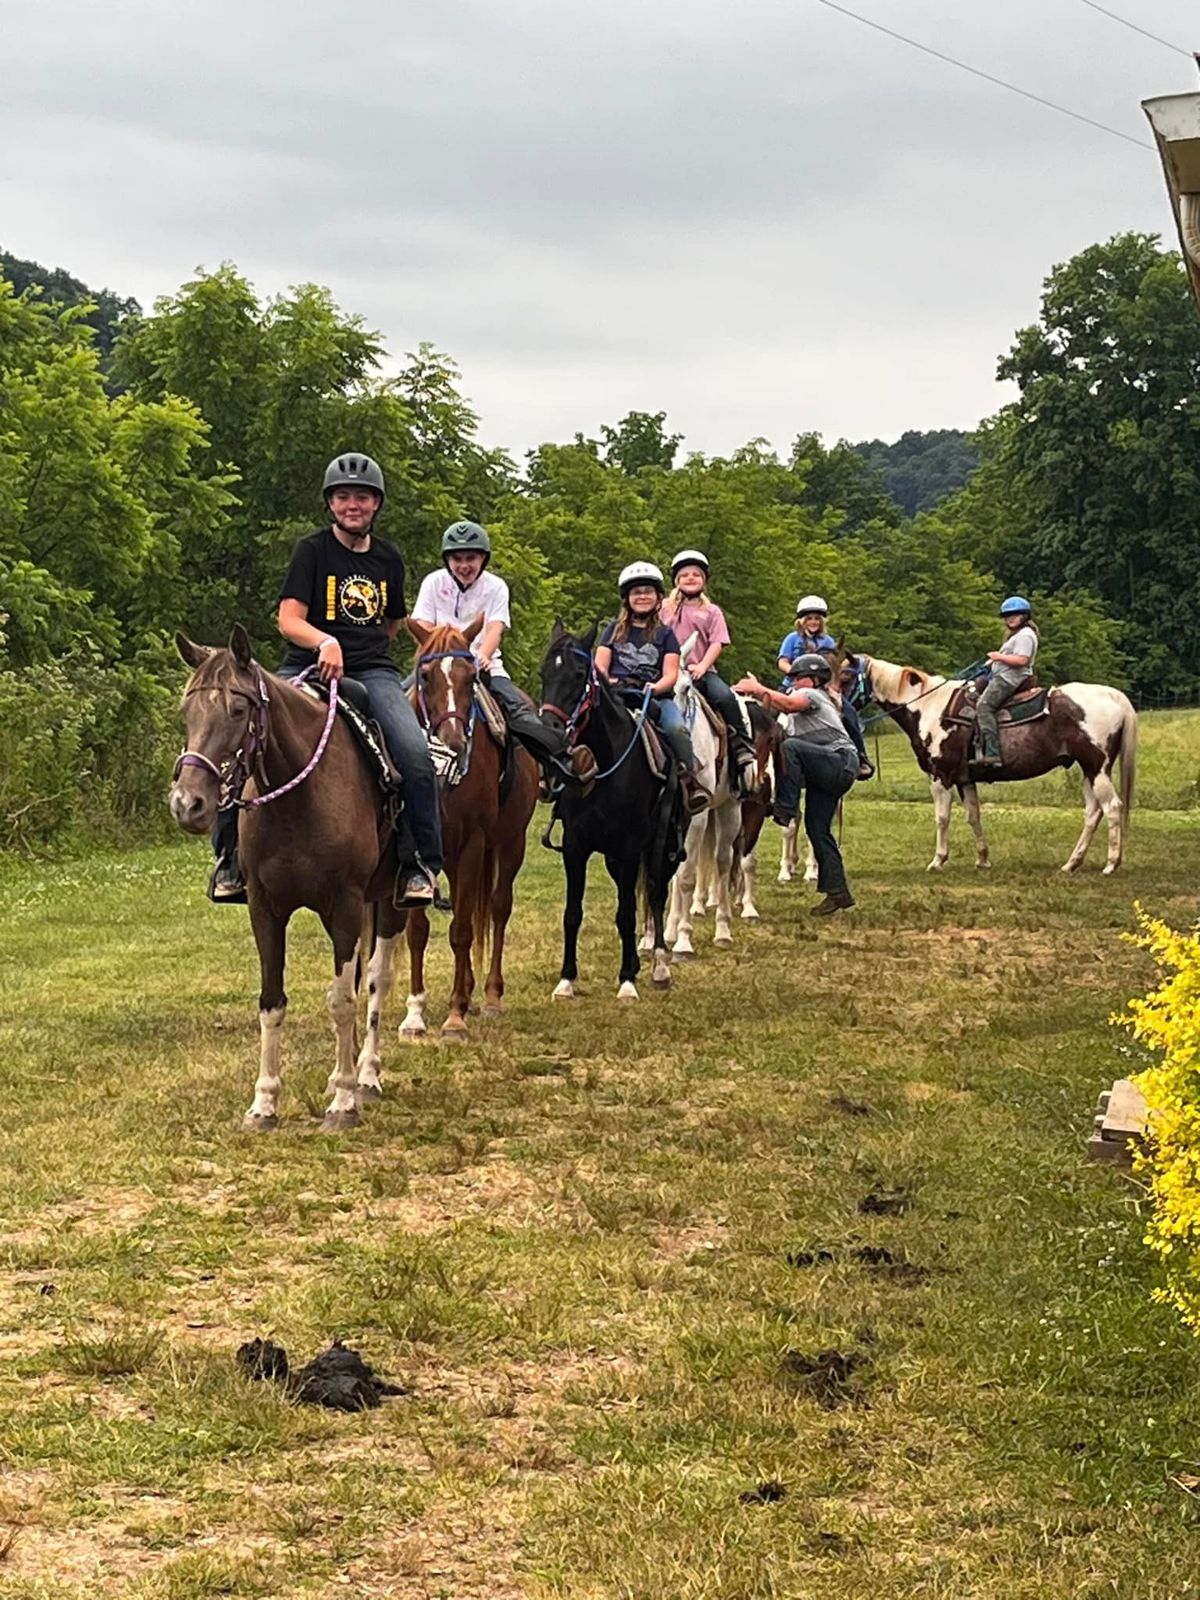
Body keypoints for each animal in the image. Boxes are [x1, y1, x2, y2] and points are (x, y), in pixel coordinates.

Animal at [168, 624, 409, 1139]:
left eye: (238, 711)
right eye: (186, 712)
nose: (187, 804)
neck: (300, 800)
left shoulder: (345, 904)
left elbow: (342, 1000)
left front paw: (343, 1103)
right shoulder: (266, 908)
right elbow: (272, 1001)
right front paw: (264, 1104)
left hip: (389, 901)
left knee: (377, 979)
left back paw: (366, 1075)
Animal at [392, 617, 537, 1043]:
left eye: (471, 676)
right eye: (424, 676)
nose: (453, 742)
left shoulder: (474, 843)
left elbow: (460, 930)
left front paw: (454, 1017)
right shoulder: (422, 850)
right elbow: (419, 929)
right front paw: (414, 1015)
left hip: (509, 844)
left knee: (497, 909)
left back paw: (489, 996)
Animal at [537, 620, 684, 998]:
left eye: (578, 675)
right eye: (545, 673)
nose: (550, 731)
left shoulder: (631, 848)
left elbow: (628, 913)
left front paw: (627, 982)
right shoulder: (575, 847)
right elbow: (573, 913)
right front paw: (566, 980)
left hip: (662, 850)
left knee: (656, 895)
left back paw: (659, 965)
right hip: (615, 859)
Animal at [851, 652, 1139, 876]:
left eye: (845, 674)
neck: (928, 707)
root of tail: (1113, 695)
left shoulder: (940, 775)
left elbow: (942, 818)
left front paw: (938, 860)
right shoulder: (965, 779)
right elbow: (973, 816)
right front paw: (982, 859)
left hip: (1097, 767)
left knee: (1112, 807)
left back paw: (1111, 864)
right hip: (1090, 770)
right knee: (1093, 812)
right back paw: (1072, 863)